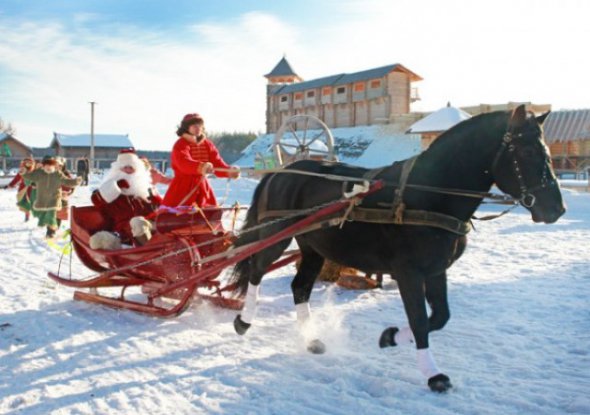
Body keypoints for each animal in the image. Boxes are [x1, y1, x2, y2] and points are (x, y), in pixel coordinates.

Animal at [229, 105, 568, 394]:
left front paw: (389, 337)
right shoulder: (408, 272)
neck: (428, 193)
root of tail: (282, 171)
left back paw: (310, 338)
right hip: (275, 234)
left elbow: (439, 317)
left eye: (548, 151)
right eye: (527, 151)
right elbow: (420, 320)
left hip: (313, 247)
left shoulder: (436, 269)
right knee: (256, 270)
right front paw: (433, 374)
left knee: (299, 287)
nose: (556, 209)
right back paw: (244, 321)